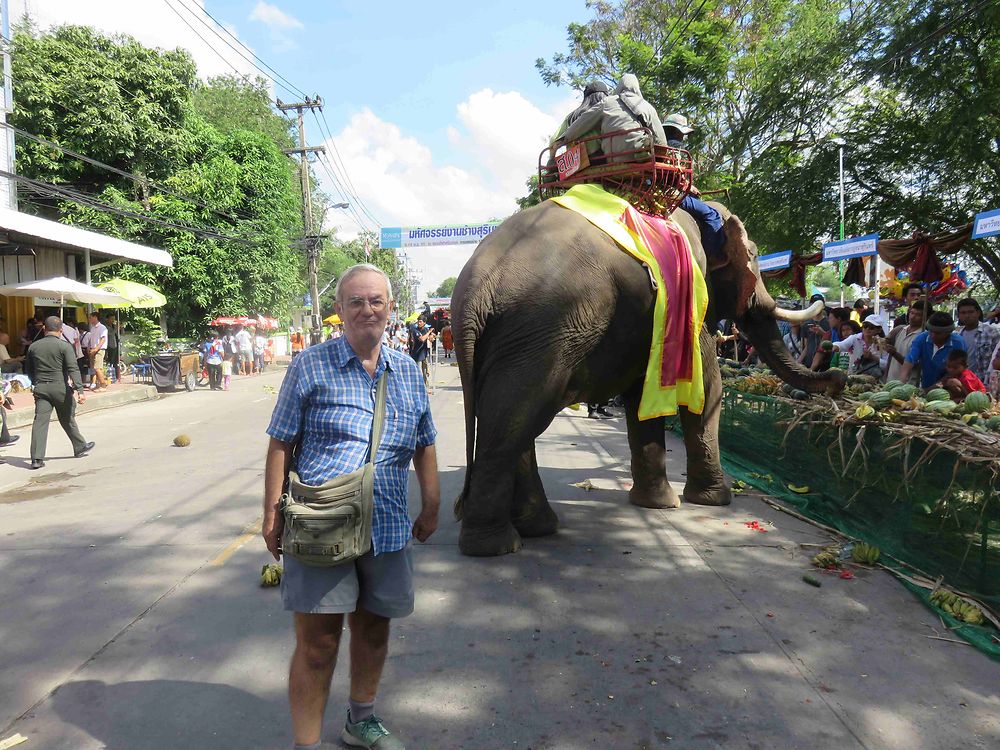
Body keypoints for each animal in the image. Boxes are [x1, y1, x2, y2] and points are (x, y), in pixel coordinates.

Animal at [454, 200, 844, 560]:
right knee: (514, 420)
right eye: (753, 255)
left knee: (511, 418)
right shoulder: (692, 301)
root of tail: (474, 287)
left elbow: (645, 402)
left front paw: (658, 504)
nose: (837, 376)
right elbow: (707, 391)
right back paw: (496, 546)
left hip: (517, 341)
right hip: (543, 331)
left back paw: (536, 528)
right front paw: (713, 501)